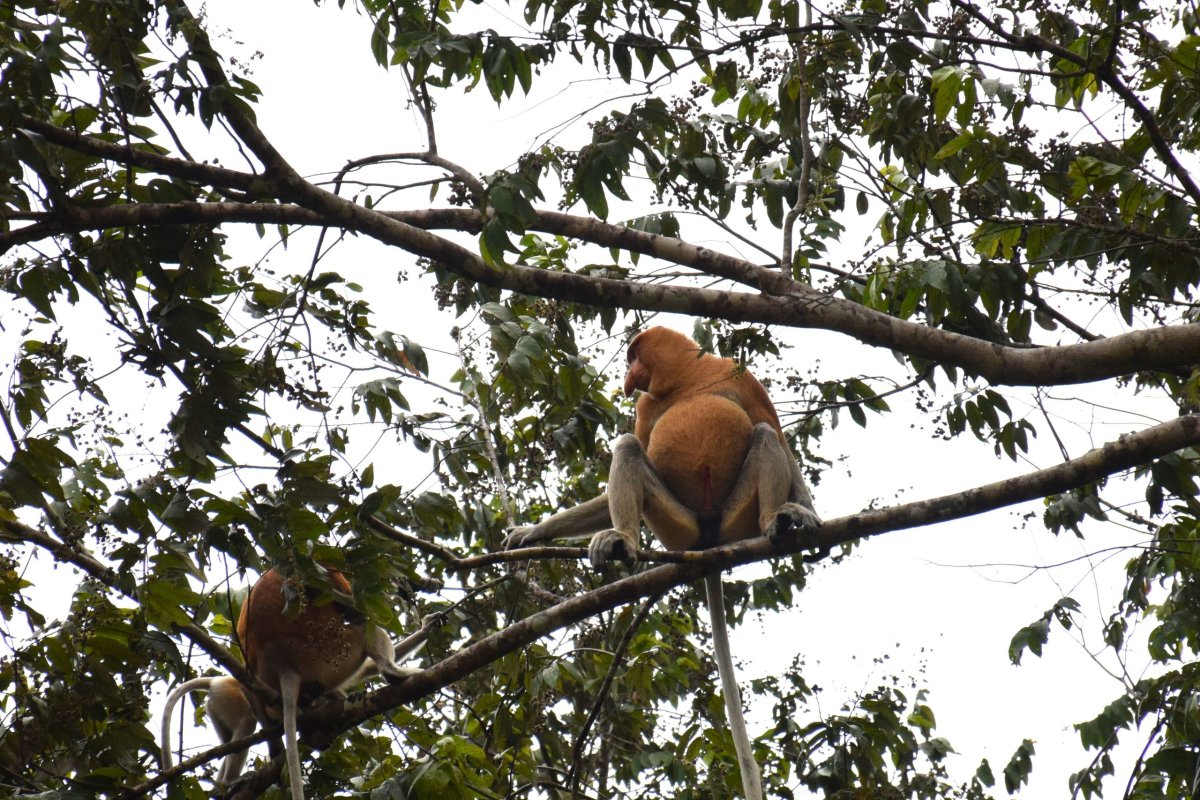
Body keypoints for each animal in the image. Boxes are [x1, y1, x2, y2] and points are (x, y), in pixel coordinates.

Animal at [157, 566, 424, 796]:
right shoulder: (327, 573)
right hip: (328, 653)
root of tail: (283, 663)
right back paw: (393, 673)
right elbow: (354, 611)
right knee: (363, 627)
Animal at [501, 326, 820, 800]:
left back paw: (775, 521)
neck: (687, 380)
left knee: (764, 432)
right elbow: (635, 442)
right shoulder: (646, 407)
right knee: (629, 447)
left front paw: (810, 516)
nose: (628, 375)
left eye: (634, 356)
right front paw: (531, 533)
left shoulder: (739, 376)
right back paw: (623, 541)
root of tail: (709, 540)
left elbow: (776, 432)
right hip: (677, 527)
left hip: (734, 518)